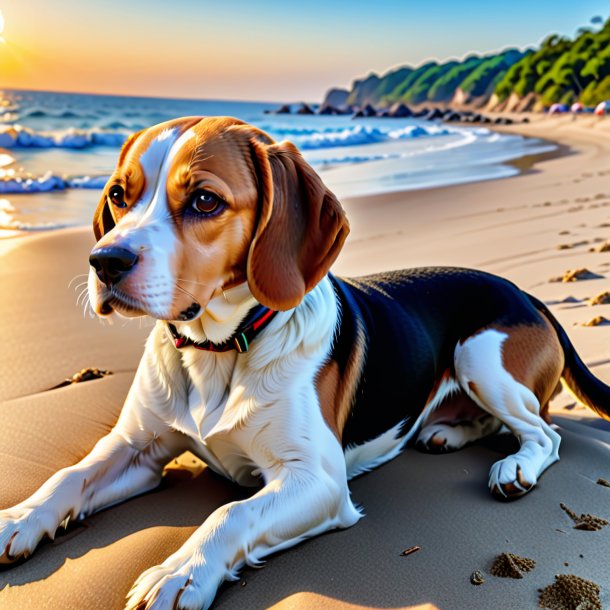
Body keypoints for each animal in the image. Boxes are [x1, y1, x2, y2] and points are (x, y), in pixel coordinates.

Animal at [1, 116, 608, 604]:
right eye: (118, 195)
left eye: (204, 201)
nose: (104, 261)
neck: (219, 350)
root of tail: (526, 293)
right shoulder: (136, 447)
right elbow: (68, 476)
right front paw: (18, 519)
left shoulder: (316, 478)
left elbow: (231, 512)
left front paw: (180, 572)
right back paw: (446, 433)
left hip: (479, 354)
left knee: (545, 433)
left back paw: (514, 467)